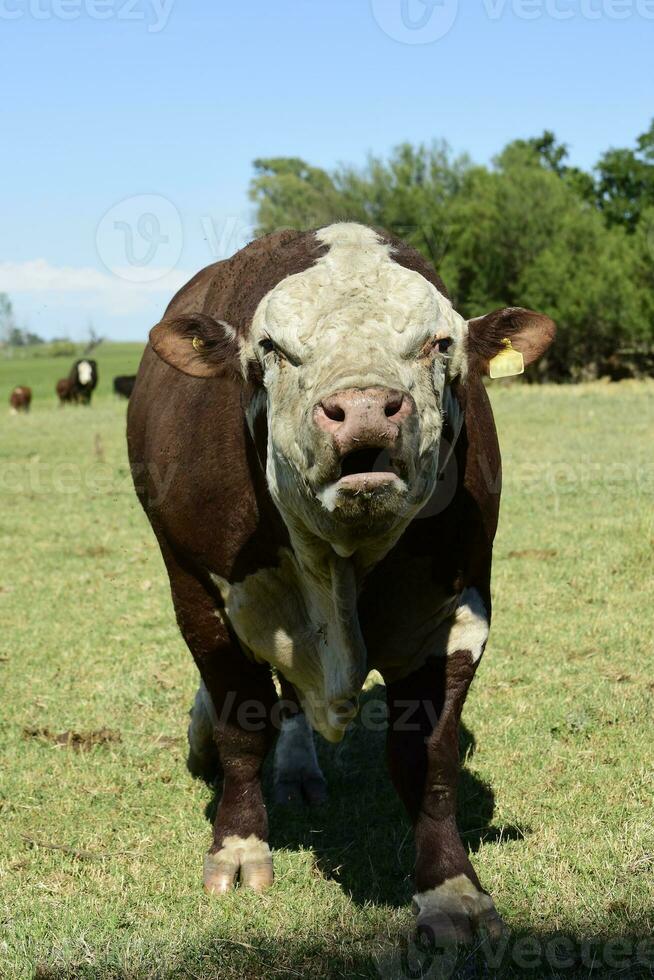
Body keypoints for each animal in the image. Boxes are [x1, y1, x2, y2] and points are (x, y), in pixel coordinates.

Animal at [128, 222, 560, 940]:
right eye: (272, 349)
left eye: (440, 343)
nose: (362, 409)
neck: (336, 563)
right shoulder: (200, 592)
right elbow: (241, 724)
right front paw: (239, 847)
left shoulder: (457, 610)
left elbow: (427, 757)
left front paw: (451, 891)